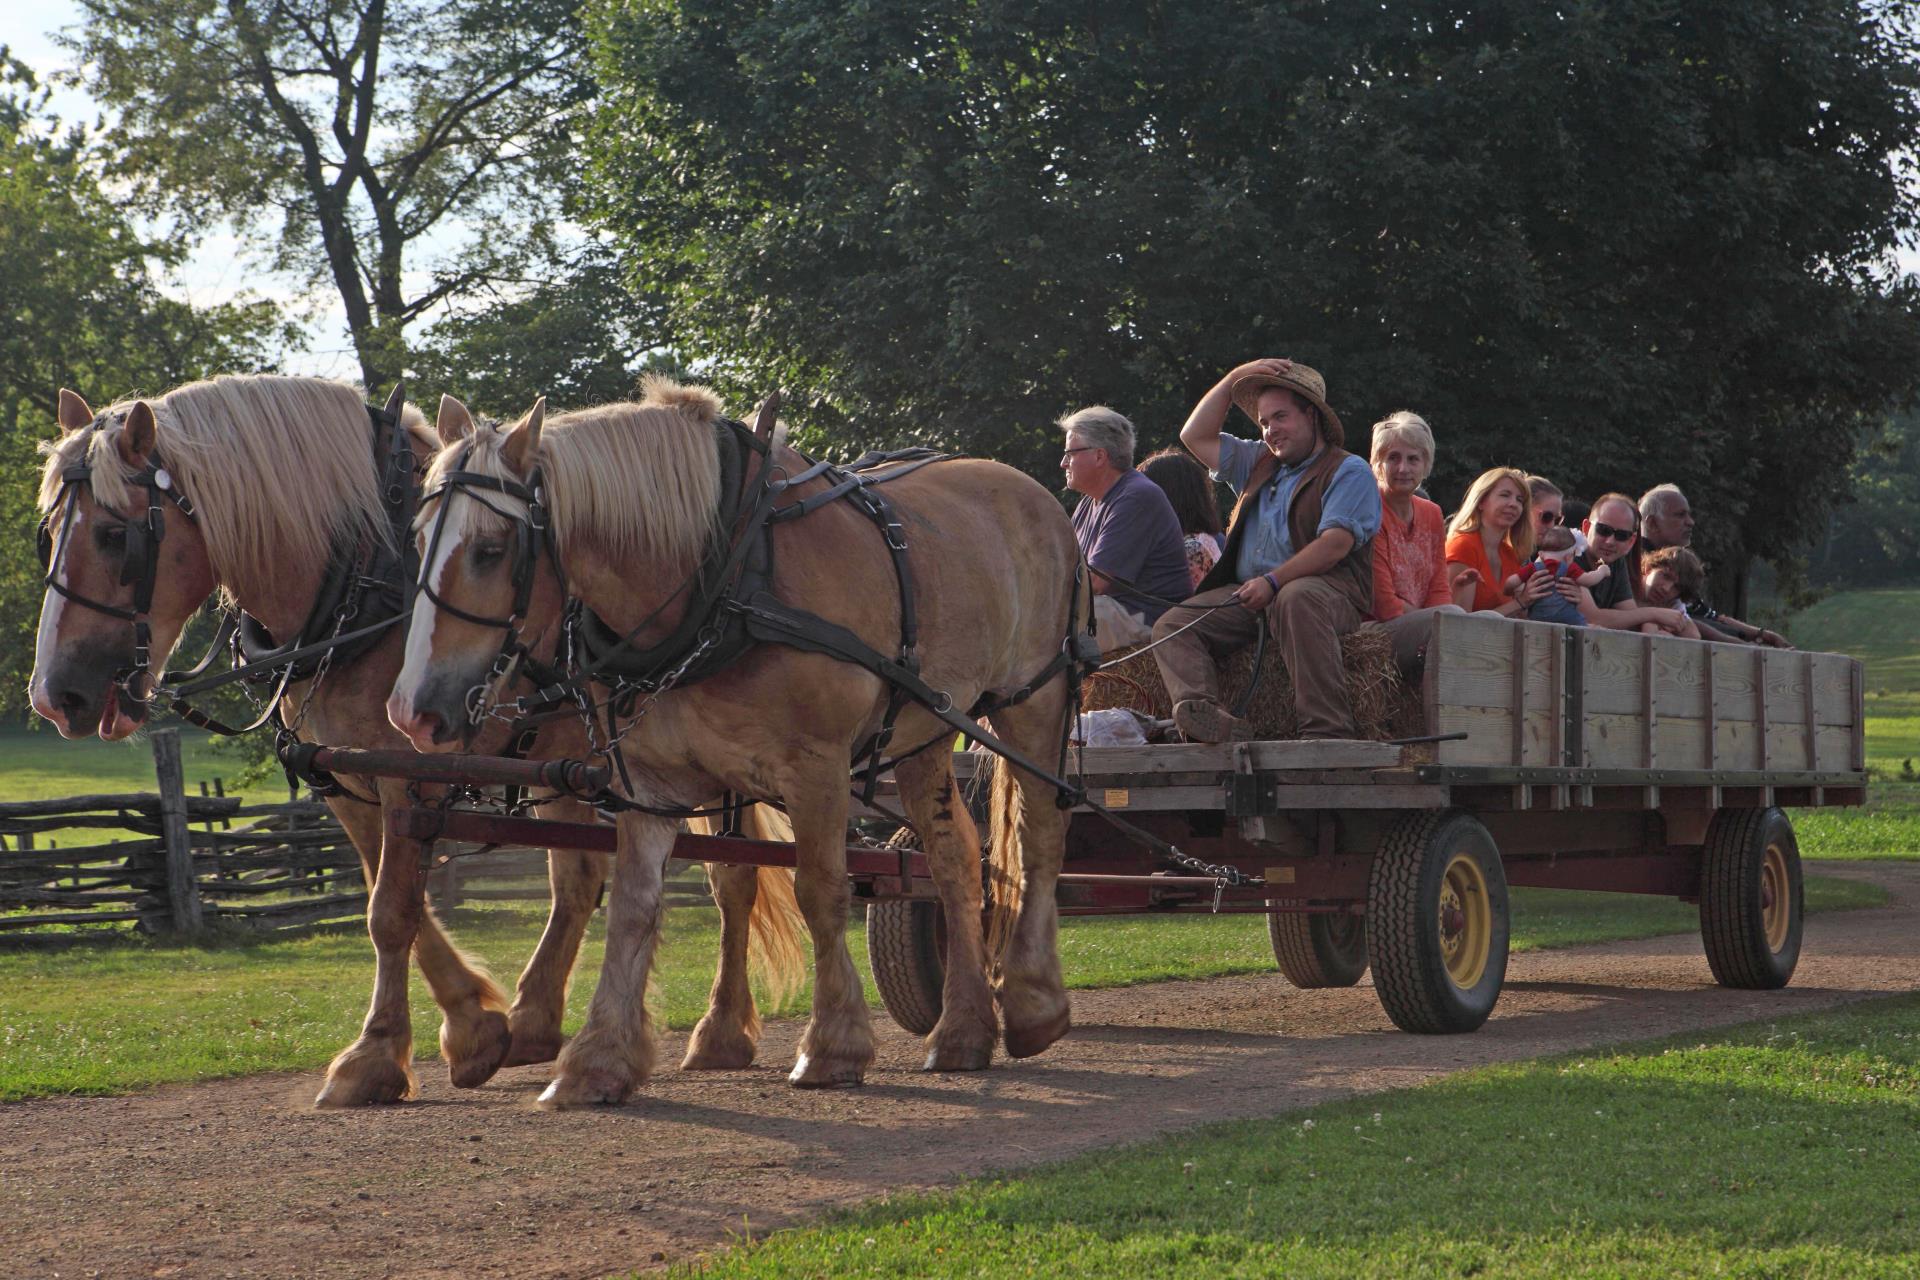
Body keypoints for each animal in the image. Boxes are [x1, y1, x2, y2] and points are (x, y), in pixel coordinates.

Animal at [28, 376, 802, 1105]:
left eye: (114, 535)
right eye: (49, 532)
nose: (54, 695)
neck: (362, 576)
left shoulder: (407, 771)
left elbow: (392, 912)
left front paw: (377, 1057)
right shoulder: (349, 780)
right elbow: (390, 904)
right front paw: (475, 1028)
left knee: (732, 879)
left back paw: (720, 1029)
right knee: (583, 879)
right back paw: (536, 1021)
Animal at [389, 383, 1090, 1113]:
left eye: (490, 549)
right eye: (419, 539)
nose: (413, 711)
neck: (725, 570)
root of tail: (1030, 490)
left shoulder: (817, 766)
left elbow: (821, 889)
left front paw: (833, 1044)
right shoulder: (649, 779)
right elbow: (635, 907)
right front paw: (597, 1059)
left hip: (1035, 697)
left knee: (1040, 835)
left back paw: (1034, 1004)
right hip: (926, 726)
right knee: (954, 860)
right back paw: (962, 1030)